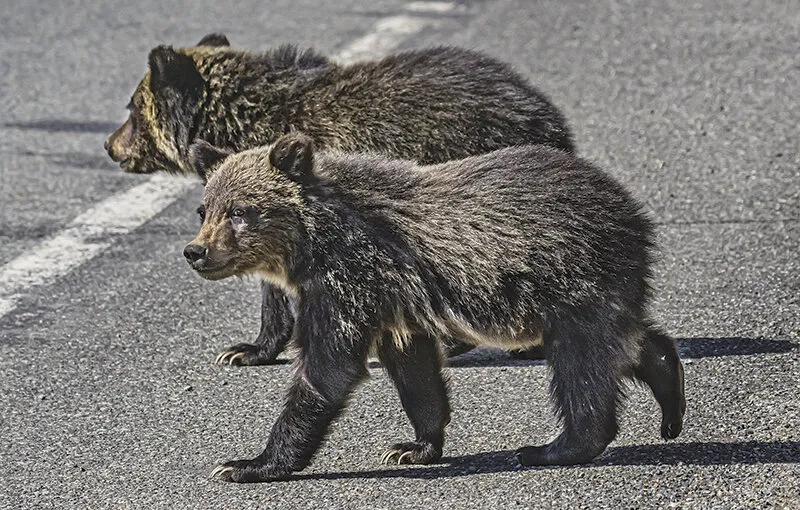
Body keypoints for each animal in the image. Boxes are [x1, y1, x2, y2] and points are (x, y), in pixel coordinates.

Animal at [182, 133, 686, 483]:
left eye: (240, 211)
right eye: (204, 209)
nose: (195, 251)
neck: (313, 244)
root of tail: (631, 208)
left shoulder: (347, 279)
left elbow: (328, 368)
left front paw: (247, 463)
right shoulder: (394, 305)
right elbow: (415, 371)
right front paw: (413, 446)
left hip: (573, 277)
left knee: (582, 363)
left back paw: (551, 447)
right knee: (622, 341)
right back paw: (670, 397)